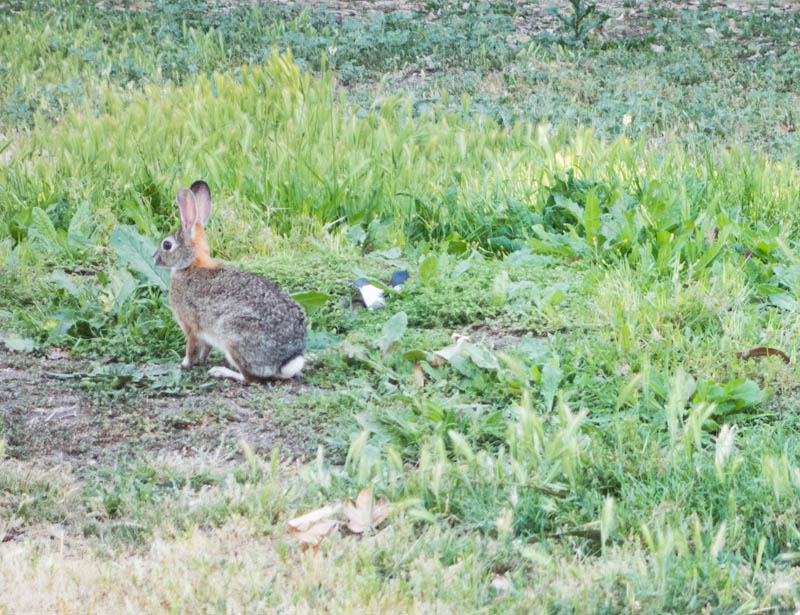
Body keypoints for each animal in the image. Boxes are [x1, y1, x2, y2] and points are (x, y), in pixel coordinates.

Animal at [153, 180, 306, 382]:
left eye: (167, 245)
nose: (154, 259)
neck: (191, 264)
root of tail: (285, 360)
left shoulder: (192, 326)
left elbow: (191, 348)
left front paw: (184, 364)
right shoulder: (205, 334)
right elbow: (204, 349)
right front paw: (199, 361)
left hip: (231, 334)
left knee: (250, 378)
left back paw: (220, 371)